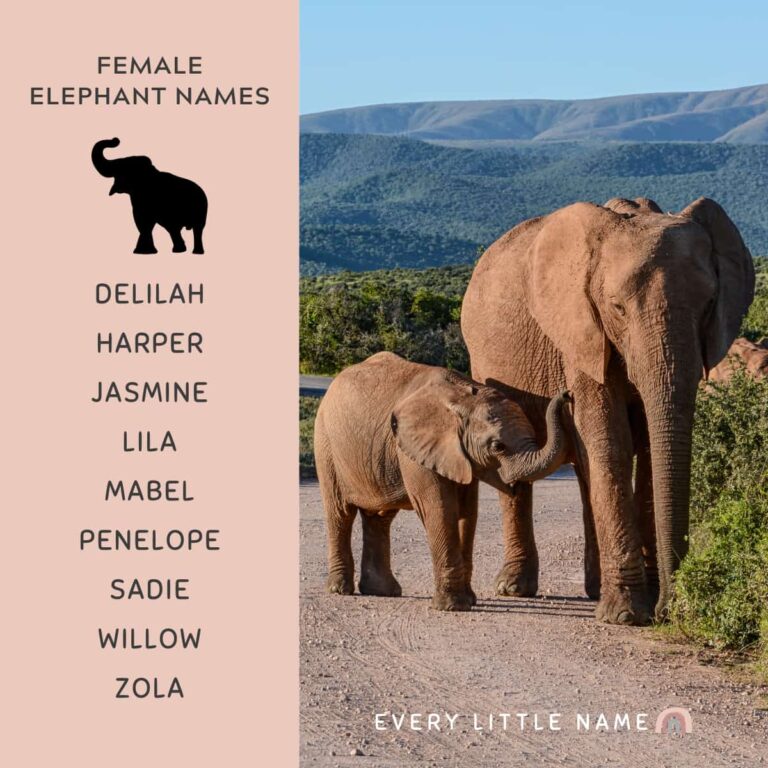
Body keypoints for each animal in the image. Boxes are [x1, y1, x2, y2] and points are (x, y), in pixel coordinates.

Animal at [314, 351, 571, 611]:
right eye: (497, 446)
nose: (567, 394)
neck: (464, 398)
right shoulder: (416, 451)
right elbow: (441, 509)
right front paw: (452, 606)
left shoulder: (460, 455)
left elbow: (466, 512)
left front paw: (467, 600)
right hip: (326, 444)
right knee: (340, 513)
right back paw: (340, 589)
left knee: (380, 518)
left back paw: (382, 592)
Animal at [461, 196, 754, 625]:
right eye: (617, 308)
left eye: (709, 305)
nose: (671, 609)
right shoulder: (581, 333)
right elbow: (610, 439)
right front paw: (628, 615)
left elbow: (648, 446)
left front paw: (645, 601)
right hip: (483, 361)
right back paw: (515, 587)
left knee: (585, 473)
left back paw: (595, 588)